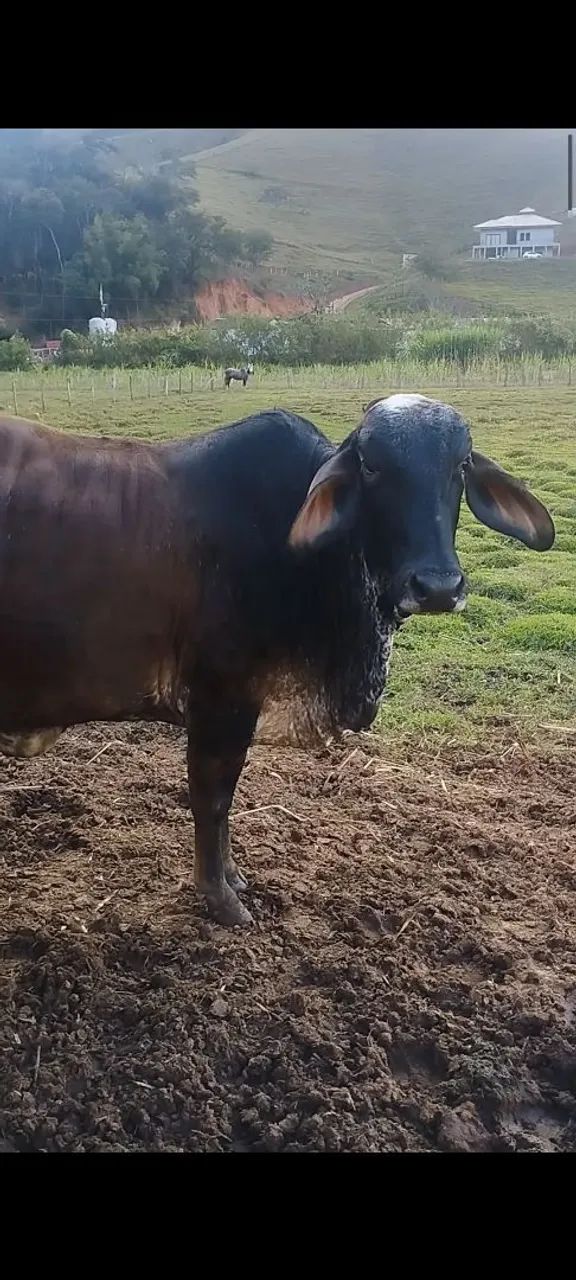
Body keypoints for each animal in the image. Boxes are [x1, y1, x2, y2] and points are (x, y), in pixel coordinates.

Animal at [0, 395, 554, 927]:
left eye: (461, 464)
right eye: (371, 466)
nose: (438, 586)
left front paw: (233, 877)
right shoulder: (221, 699)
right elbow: (212, 798)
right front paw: (220, 898)